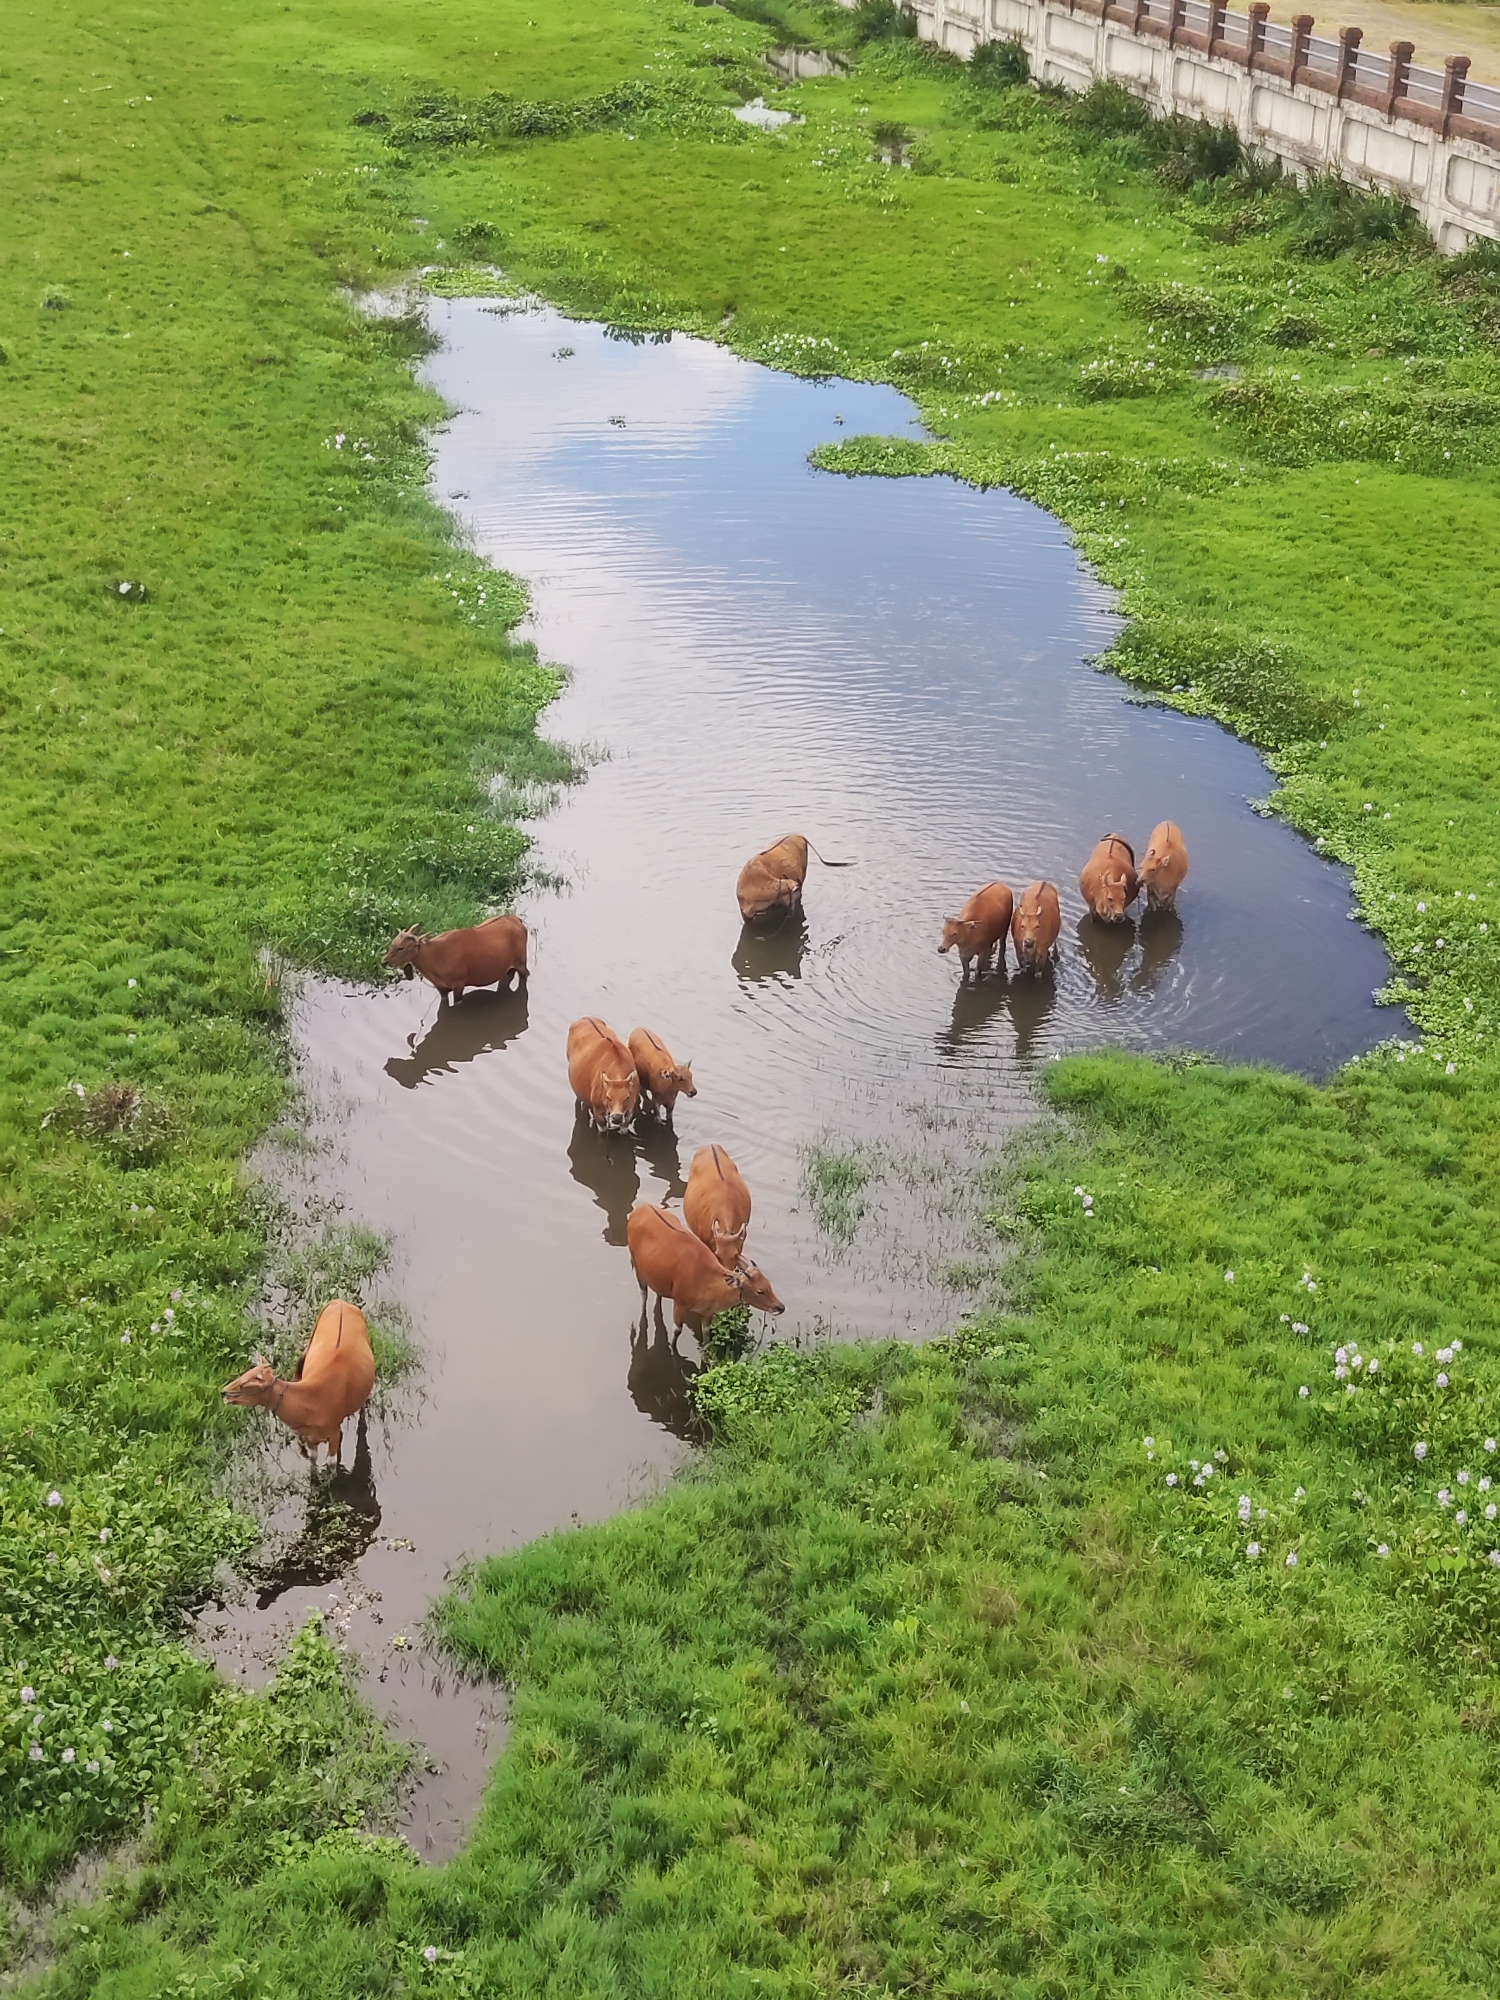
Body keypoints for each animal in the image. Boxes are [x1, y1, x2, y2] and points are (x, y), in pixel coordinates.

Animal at [221, 1298, 376, 1466]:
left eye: (246, 1384)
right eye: (243, 1375)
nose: (223, 1392)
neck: (313, 1401)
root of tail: (340, 1301)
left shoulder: (334, 1432)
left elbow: (331, 1464)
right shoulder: (311, 1436)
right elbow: (313, 1459)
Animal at [384, 914, 527, 1000]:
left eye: (401, 948)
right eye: (392, 943)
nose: (384, 960)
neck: (434, 958)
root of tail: (518, 920)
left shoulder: (459, 982)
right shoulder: (441, 988)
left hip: (521, 961)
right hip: (508, 966)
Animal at [626, 1204, 784, 1332]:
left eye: (769, 1285)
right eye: (760, 1291)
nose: (780, 1307)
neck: (705, 1282)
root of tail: (639, 1209)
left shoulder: (707, 1315)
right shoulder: (679, 1303)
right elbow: (677, 1331)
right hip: (636, 1266)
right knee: (643, 1293)